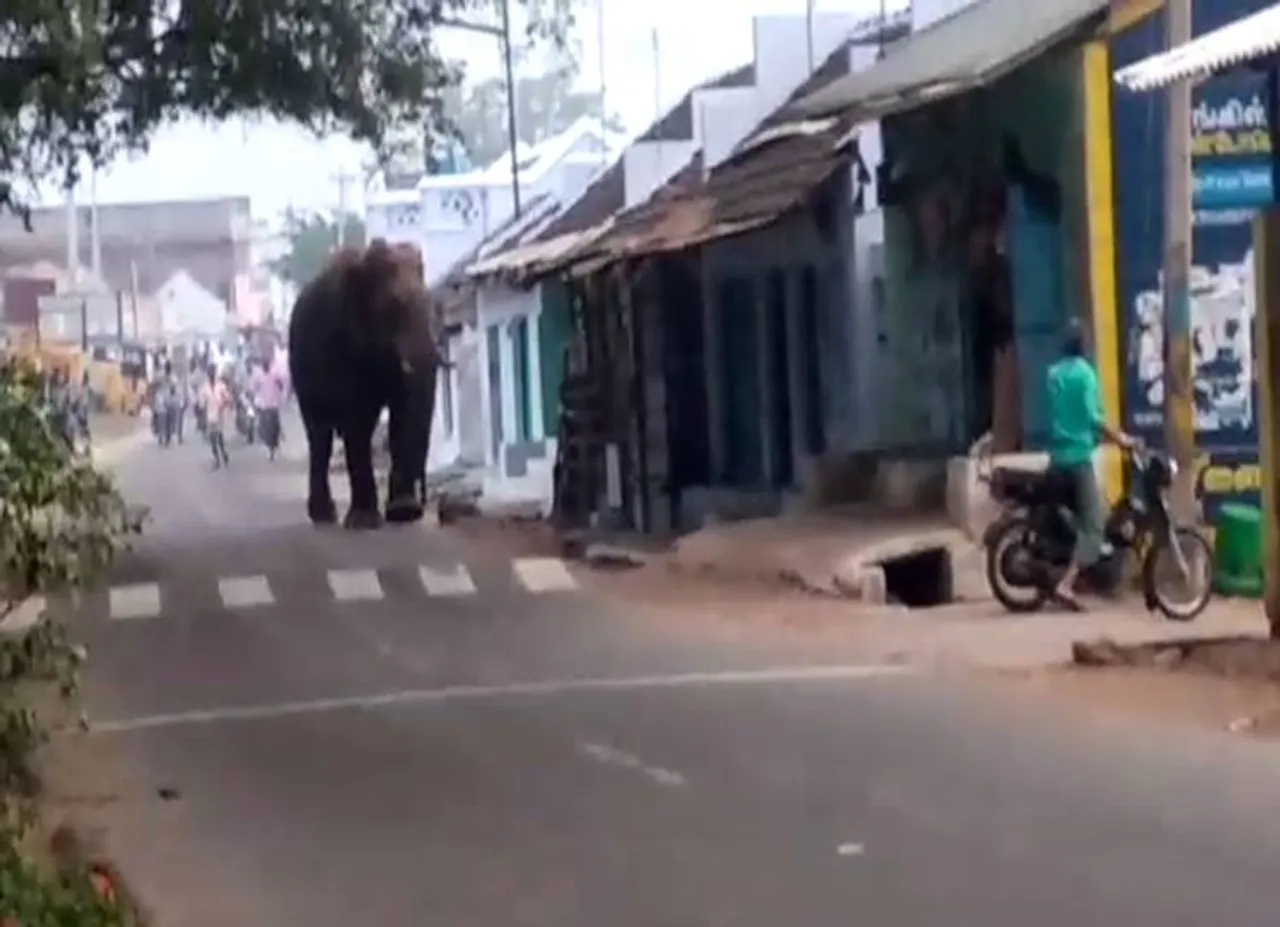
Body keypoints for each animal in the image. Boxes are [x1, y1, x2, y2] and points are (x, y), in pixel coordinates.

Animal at [291, 236, 445, 527]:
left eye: (432, 304)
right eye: (393, 307)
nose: (423, 502)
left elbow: (403, 411)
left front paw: (403, 513)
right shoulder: (338, 339)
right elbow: (356, 418)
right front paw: (365, 521)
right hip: (299, 370)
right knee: (320, 436)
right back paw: (324, 516)